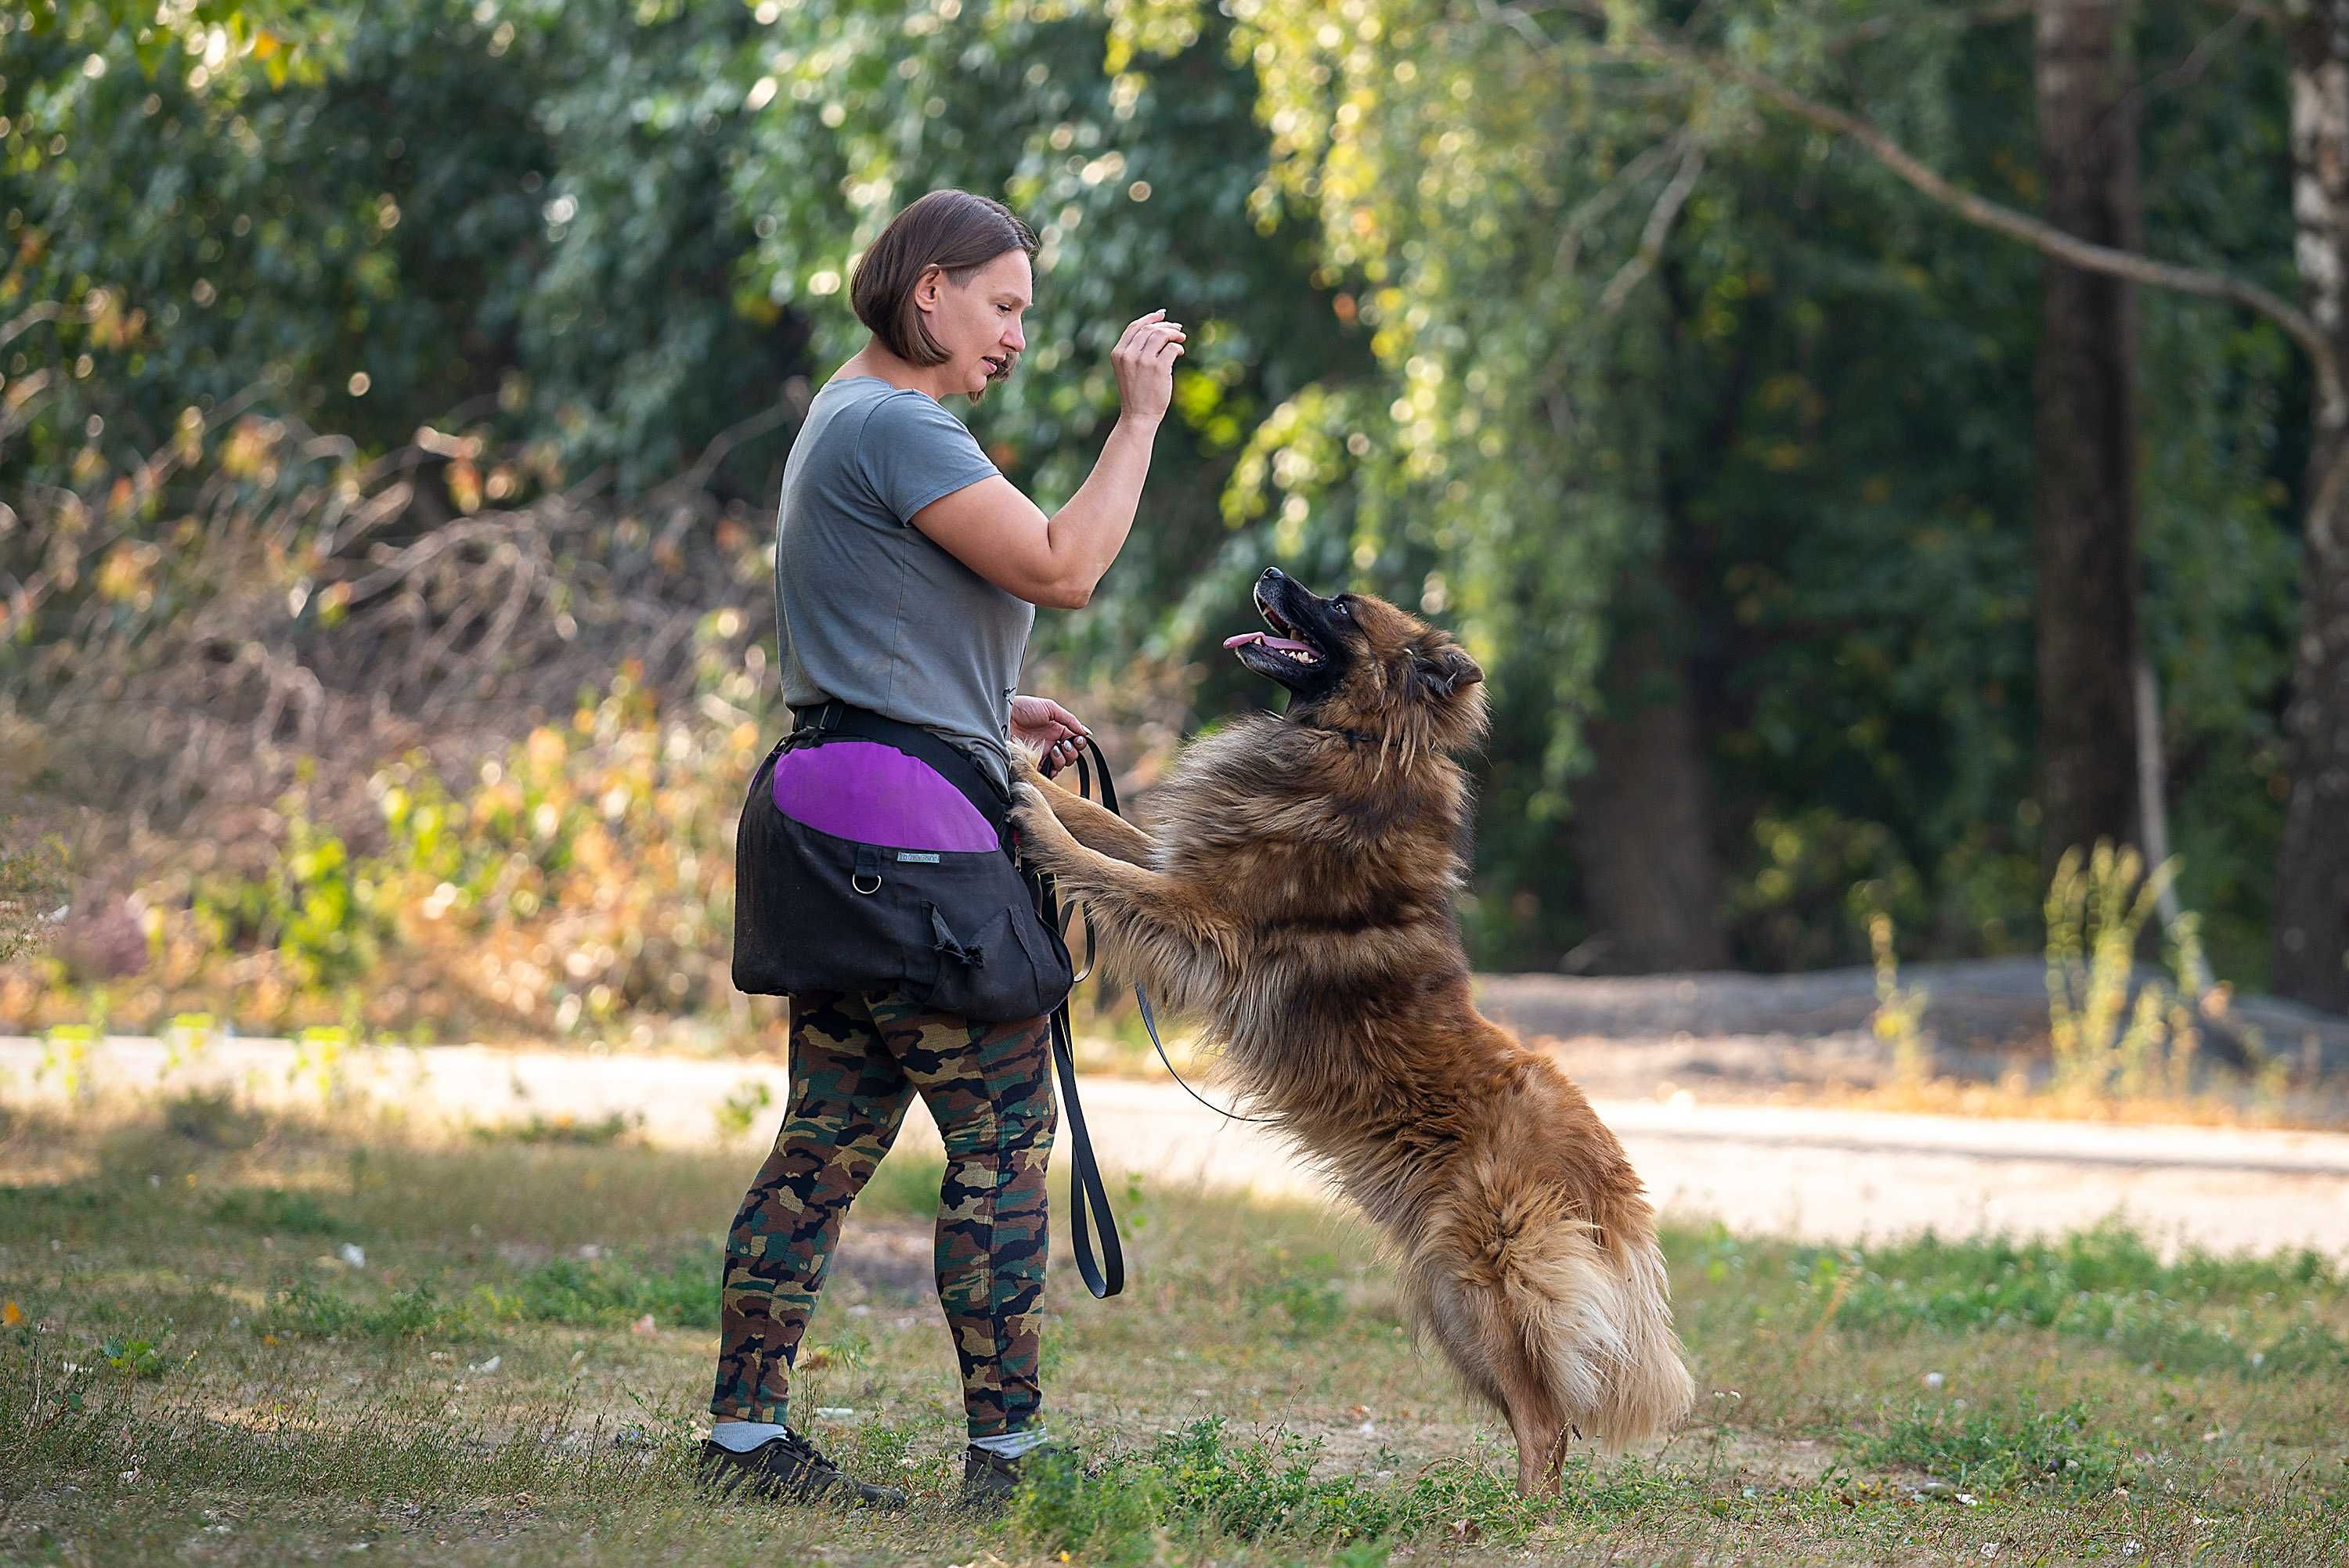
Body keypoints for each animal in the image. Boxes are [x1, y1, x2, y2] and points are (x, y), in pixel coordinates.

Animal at [1005, 565, 1691, 1493]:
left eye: (1339, 606)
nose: (1268, 572)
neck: (1361, 739)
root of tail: (1610, 1173)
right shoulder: (1180, 866)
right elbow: (1109, 831)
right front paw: (1027, 765)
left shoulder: (1200, 916)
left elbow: (1100, 864)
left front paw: (1031, 812)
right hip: (1449, 1298)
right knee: (1545, 1416)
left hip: (1483, 1279)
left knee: (1548, 1420)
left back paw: (1521, 1513)